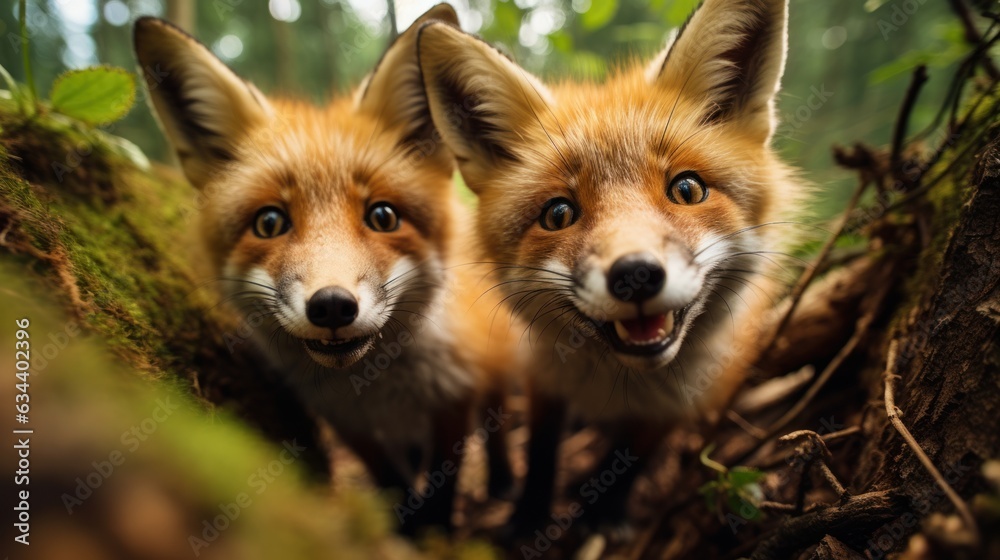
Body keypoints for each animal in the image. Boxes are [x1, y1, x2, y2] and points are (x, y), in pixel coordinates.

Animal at [133, 4, 515, 533]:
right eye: (269, 222)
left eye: (383, 216)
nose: (332, 306)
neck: (374, 389)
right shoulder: (348, 424)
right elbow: (391, 480)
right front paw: (402, 525)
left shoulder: (454, 397)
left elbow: (442, 482)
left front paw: (434, 532)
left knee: (497, 421)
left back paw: (502, 479)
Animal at [418, 0, 803, 537]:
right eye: (558, 214)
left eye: (687, 189)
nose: (635, 274)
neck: (623, 380)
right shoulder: (542, 378)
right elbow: (541, 452)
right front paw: (529, 517)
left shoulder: (681, 402)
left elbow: (632, 459)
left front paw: (606, 512)